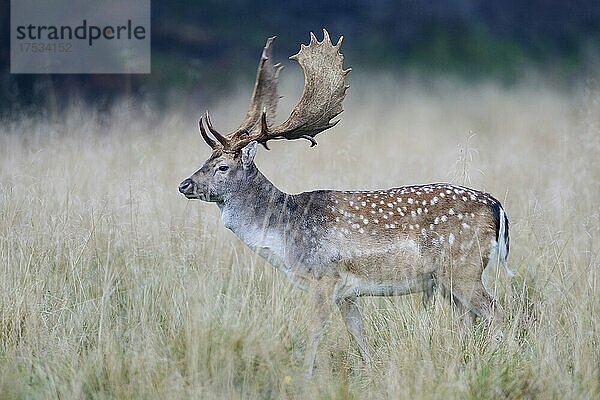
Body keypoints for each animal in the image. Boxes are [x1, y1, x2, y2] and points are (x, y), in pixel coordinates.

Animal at [177, 29, 510, 374]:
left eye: (222, 167)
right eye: (206, 159)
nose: (185, 184)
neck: (285, 237)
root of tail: (497, 208)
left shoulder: (324, 276)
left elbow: (314, 331)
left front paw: (305, 374)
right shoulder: (347, 293)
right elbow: (358, 334)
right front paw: (371, 371)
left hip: (463, 267)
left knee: (497, 313)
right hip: (449, 280)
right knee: (470, 319)